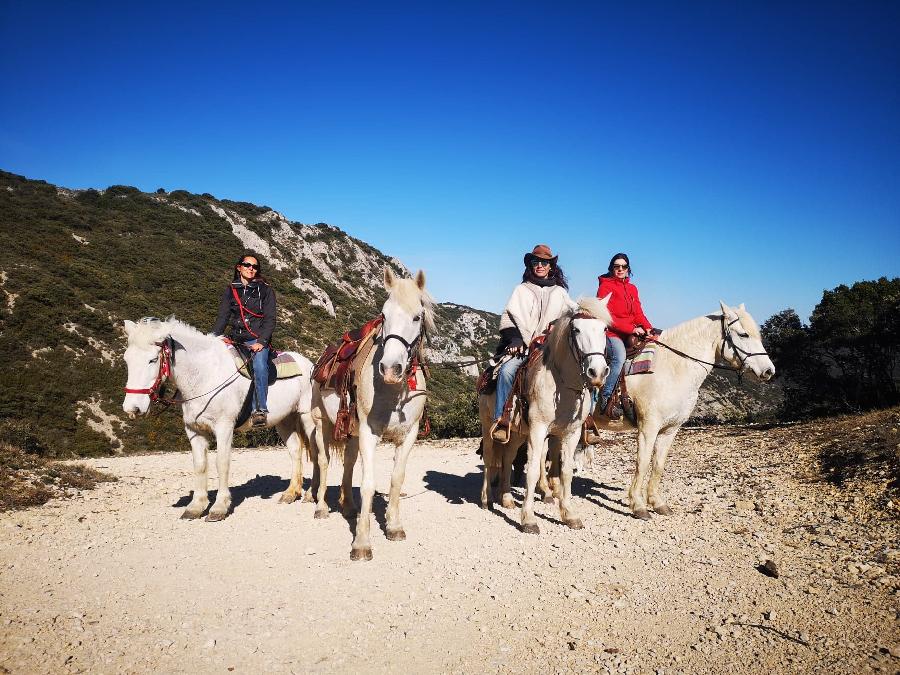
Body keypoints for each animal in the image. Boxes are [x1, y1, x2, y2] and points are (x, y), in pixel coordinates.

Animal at [121, 318, 314, 524]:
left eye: (153, 360)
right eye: (127, 359)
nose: (132, 408)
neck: (205, 375)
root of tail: (309, 364)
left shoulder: (224, 427)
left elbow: (221, 463)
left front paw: (219, 507)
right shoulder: (194, 430)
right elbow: (199, 465)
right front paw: (196, 506)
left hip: (308, 417)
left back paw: (311, 494)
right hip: (284, 421)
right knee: (295, 451)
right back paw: (291, 493)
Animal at [308, 266, 434, 564]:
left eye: (417, 316)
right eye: (384, 315)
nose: (390, 368)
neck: (394, 392)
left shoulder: (408, 436)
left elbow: (396, 479)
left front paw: (394, 526)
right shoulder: (368, 433)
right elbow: (367, 483)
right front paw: (362, 542)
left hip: (351, 433)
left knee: (349, 464)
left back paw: (348, 507)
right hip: (322, 425)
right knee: (324, 462)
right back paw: (321, 507)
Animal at [478, 298, 612, 536]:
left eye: (604, 329)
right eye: (576, 329)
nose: (597, 372)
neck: (562, 384)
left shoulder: (571, 433)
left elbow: (566, 471)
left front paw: (569, 514)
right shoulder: (538, 430)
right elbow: (532, 470)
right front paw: (528, 519)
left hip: (516, 434)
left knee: (507, 459)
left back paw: (507, 499)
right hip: (488, 427)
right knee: (489, 458)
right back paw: (486, 499)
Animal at [608, 304, 776, 520]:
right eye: (743, 334)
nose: (769, 371)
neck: (671, 367)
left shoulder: (670, 430)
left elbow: (658, 464)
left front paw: (658, 503)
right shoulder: (648, 428)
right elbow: (643, 463)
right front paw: (638, 506)